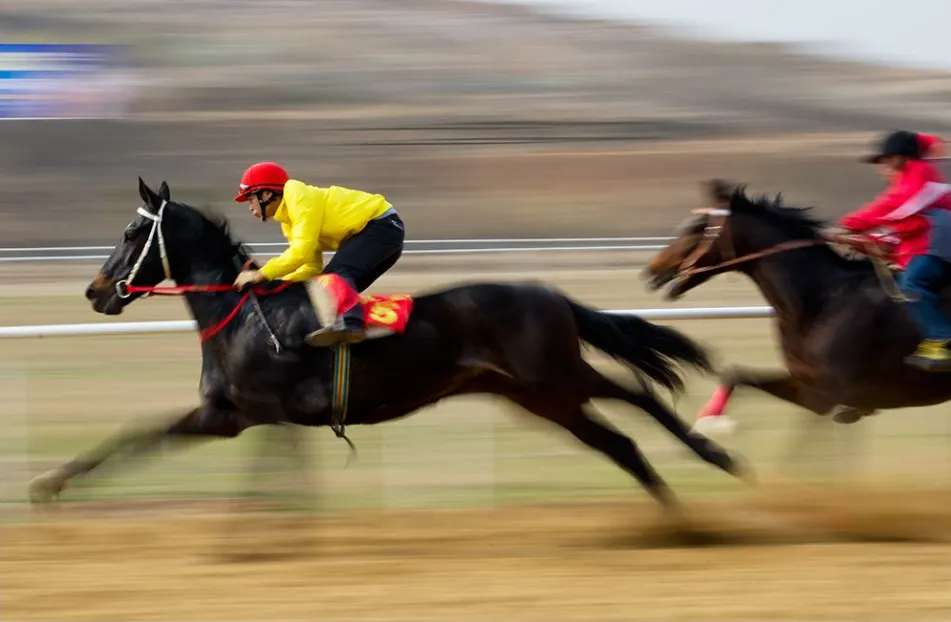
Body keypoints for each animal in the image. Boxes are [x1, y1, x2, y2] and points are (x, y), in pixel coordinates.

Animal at [27, 177, 748, 512]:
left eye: (131, 232)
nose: (95, 291)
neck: (242, 317)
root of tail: (547, 292)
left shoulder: (262, 414)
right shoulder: (227, 415)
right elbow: (136, 436)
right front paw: (48, 483)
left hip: (555, 375)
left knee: (641, 395)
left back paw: (716, 457)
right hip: (537, 396)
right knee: (619, 442)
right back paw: (675, 519)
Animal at [643, 178, 951, 435]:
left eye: (697, 227)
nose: (651, 272)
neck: (819, 301)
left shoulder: (829, 396)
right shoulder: (808, 389)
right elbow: (738, 374)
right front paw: (710, 417)